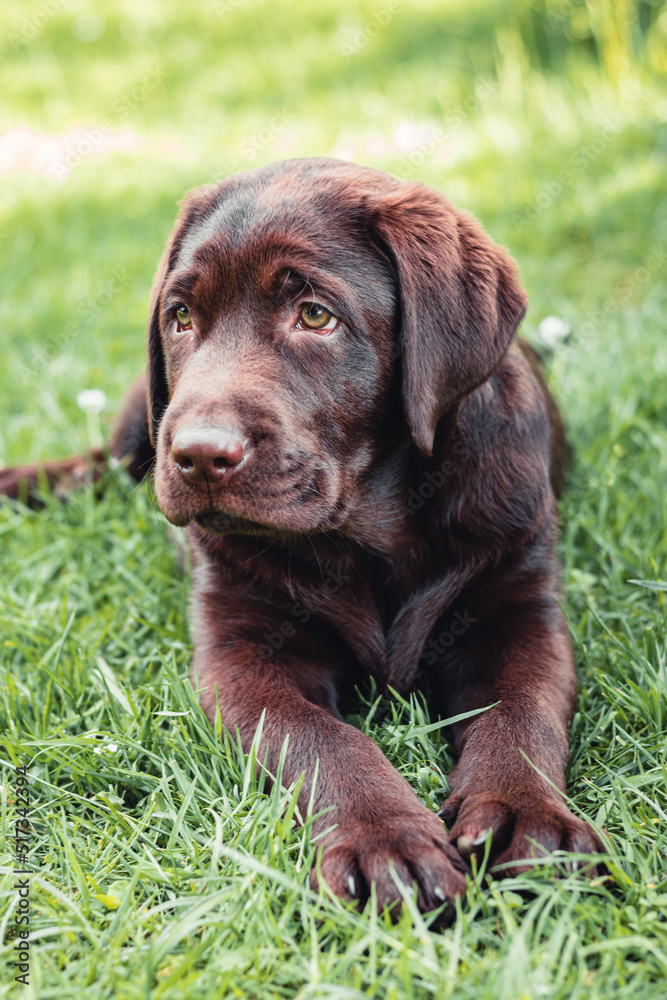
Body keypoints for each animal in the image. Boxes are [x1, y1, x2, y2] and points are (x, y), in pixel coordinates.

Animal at [1, 158, 604, 916]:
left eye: (316, 315)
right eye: (181, 317)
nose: (198, 455)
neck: (369, 533)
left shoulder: (517, 603)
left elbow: (522, 715)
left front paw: (527, 818)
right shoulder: (243, 653)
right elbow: (322, 740)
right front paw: (386, 841)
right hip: (143, 417)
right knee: (99, 463)